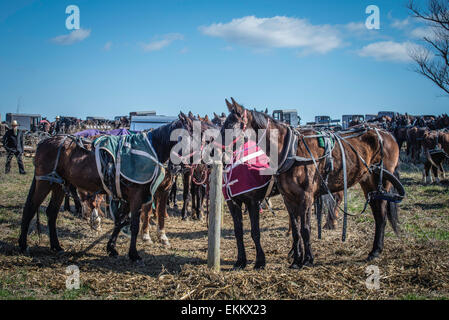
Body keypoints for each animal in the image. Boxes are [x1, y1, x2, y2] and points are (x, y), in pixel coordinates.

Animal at [18, 114, 198, 262]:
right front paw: (134, 254)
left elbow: (120, 221)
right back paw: (23, 245)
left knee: (52, 212)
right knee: (31, 208)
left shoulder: (130, 196)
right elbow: (134, 224)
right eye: (192, 133)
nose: (196, 162)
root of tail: (44, 142)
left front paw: (111, 248)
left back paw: (56, 246)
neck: (152, 148)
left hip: (58, 184)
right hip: (45, 182)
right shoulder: (136, 195)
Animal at [222, 97, 404, 268]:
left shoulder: (303, 197)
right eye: (222, 126)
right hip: (368, 183)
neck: (291, 151)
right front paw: (296, 260)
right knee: (377, 214)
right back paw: (373, 250)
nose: (222, 155)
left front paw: (307, 259)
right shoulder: (286, 198)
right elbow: (295, 230)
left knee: (380, 215)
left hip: (381, 182)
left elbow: (304, 229)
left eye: (231, 125)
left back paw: (372, 249)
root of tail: (386, 133)